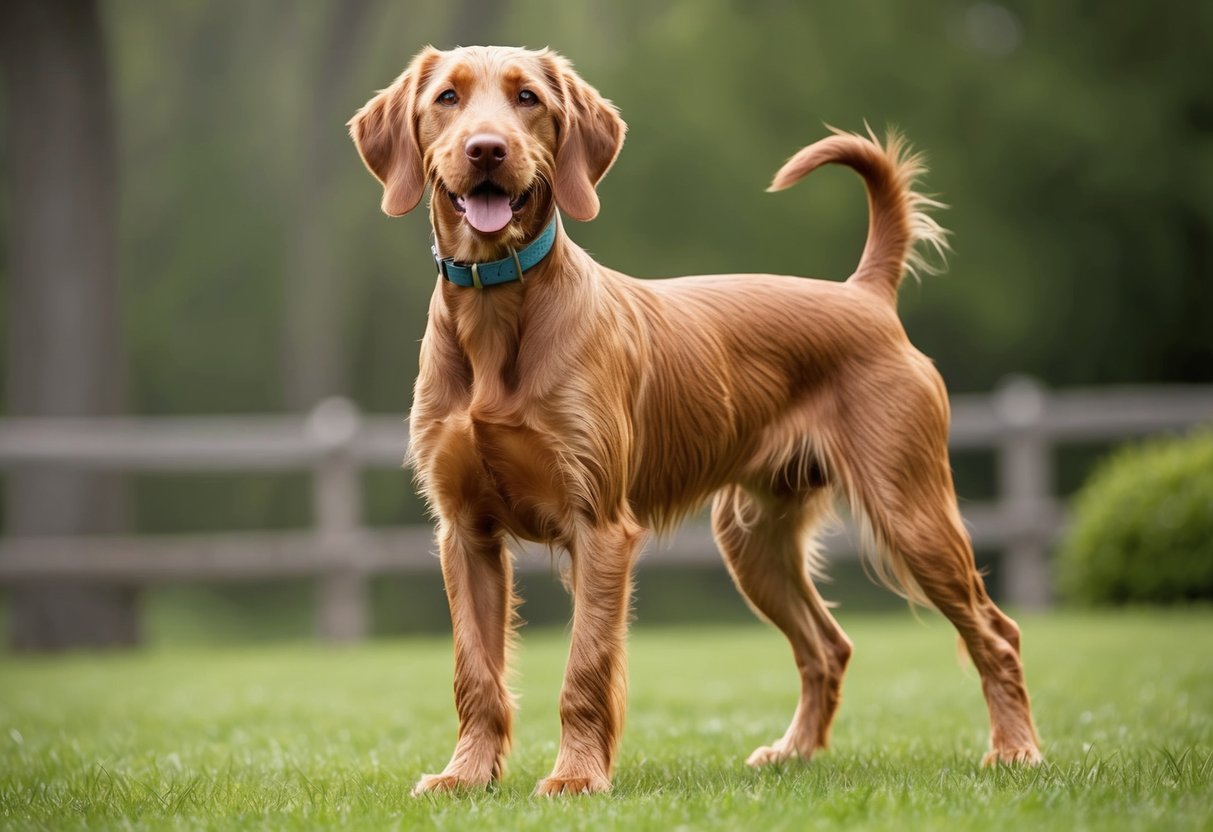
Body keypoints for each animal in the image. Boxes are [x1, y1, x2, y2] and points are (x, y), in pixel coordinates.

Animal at [349, 43, 1043, 795]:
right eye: (447, 98)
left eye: (527, 98)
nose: (486, 149)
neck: (496, 309)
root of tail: (865, 295)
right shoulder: (465, 533)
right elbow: (474, 671)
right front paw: (466, 776)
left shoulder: (599, 527)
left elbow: (585, 667)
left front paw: (576, 778)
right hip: (754, 540)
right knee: (828, 645)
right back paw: (795, 751)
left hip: (910, 511)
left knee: (995, 631)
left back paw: (1015, 749)